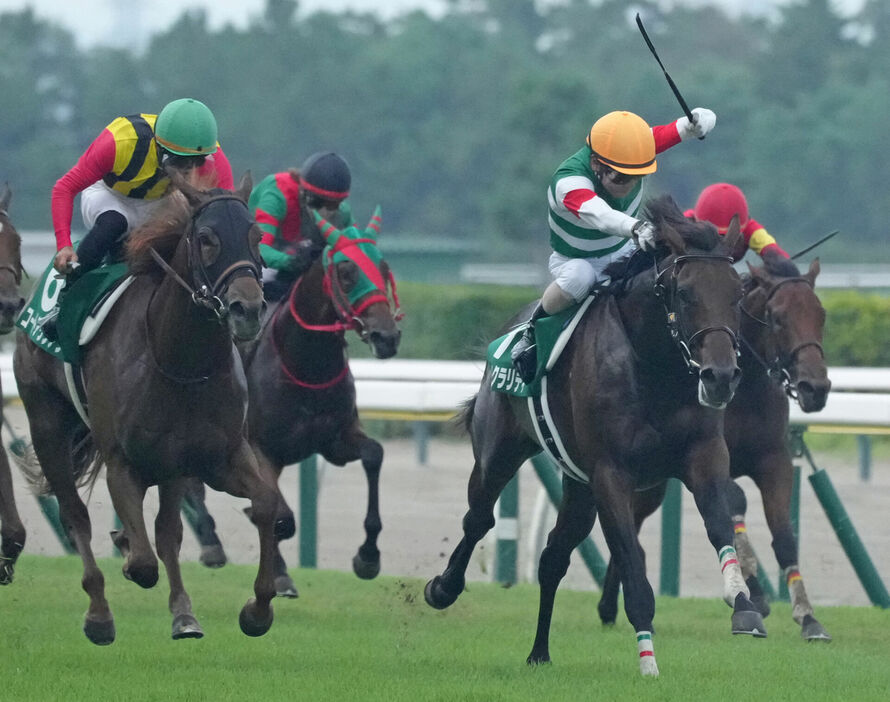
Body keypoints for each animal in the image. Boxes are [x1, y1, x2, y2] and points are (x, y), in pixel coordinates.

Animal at [13, 175, 284, 644]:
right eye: (206, 238)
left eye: (257, 236)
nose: (248, 310)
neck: (178, 361)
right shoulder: (123, 462)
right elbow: (141, 563)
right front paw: (123, 555)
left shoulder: (218, 456)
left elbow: (264, 504)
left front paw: (257, 610)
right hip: (46, 423)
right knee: (75, 515)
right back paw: (100, 614)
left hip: (172, 464)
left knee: (167, 531)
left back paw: (184, 615)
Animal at [238, 210, 400, 600]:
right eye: (346, 271)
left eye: (383, 267)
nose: (387, 337)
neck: (305, 364)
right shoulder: (259, 448)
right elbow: (281, 519)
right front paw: (279, 575)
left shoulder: (335, 442)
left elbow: (373, 455)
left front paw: (368, 557)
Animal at [424, 197, 756, 676]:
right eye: (686, 293)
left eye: (737, 294)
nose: (721, 377)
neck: (654, 368)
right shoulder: (611, 475)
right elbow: (633, 567)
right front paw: (649, 664)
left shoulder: (703, 456)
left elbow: (719, 526)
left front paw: (743, 604)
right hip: (498, 453)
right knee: (479, 518)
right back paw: (443, 588)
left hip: (578, 487)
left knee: (552, 558)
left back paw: (539, 652)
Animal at [596, 256, 832, 640]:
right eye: (777, 317)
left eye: (820, 314)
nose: (816, 388)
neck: (748, 389)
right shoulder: (715, 456)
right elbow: (735, 502)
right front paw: (756, 593)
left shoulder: (774, 460)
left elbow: (783, 534)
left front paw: (808, 616)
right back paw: (609, 606)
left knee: (631, 523)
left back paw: (608, 607)